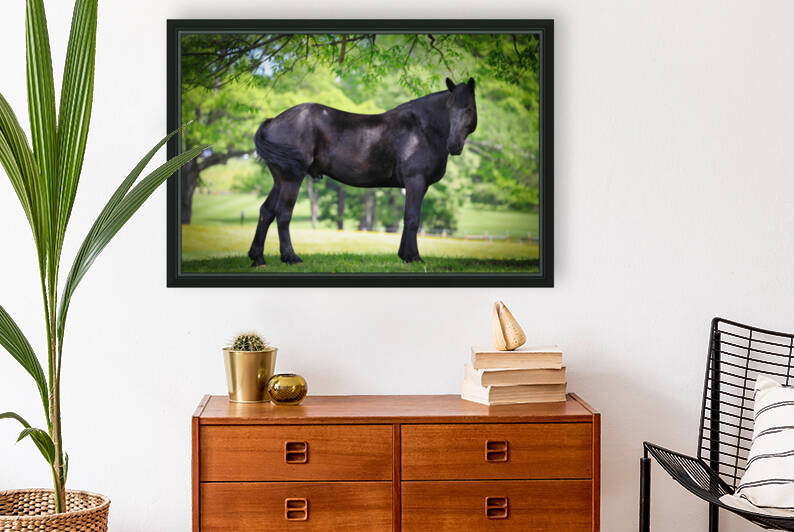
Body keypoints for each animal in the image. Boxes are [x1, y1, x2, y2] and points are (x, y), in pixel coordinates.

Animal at [248, 77, 477, 266]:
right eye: (449, 107)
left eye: (468, 108)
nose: (454, 145)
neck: (421, 128)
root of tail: (272, 121)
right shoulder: (415, 181)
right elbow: (412, 219)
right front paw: (413, 257)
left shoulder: (417, 185)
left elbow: (407, 219)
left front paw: (404, 255)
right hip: (292, 179)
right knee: (283, 214)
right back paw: (291, 257)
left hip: (280, 180)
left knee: (266, 212)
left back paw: (258, 258)